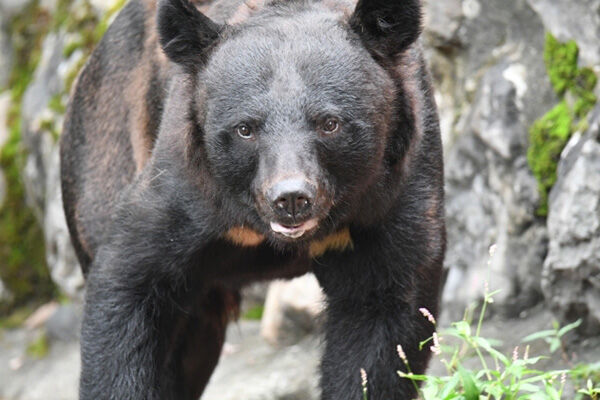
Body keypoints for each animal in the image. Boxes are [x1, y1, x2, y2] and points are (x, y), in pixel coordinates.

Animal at [61, 0, 446, 398]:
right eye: (245, 129)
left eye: (329, 123)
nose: (291, 199)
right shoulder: (185, 183)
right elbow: (129, 276)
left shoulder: (394, 192)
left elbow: (382, 319)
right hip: (104, 161)